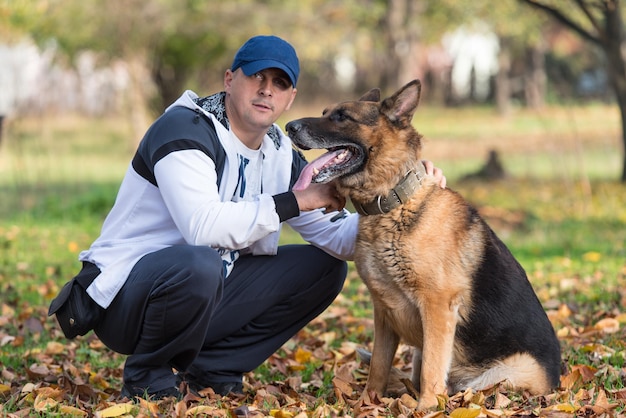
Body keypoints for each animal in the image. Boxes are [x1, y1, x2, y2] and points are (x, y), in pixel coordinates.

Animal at [286, 80, 560, 410]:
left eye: (342, 117)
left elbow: (432, 366)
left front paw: (426, 408)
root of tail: (556, 380)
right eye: (326, 112)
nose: (288, 126)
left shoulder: (437, 306)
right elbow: (378, 365)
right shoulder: (383, 311)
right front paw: (367, 403)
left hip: (498, 377)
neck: (392, 204)